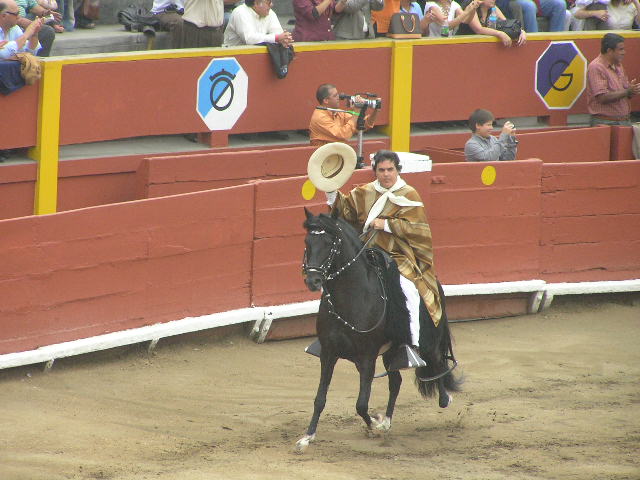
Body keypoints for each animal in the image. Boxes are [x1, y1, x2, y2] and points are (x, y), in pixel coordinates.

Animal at [298, 208, 462, 452]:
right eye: (307, 242)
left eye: (330, 243)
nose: (313, 280)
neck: (350, 297)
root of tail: (435, 284)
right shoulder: (328, 353)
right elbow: (320, 399)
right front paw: (308, 437)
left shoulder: (367, 356)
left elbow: (361, 404)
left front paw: (374, 425)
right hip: (392, 352)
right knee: (396, 382)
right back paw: (387, 421)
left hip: (427, 341)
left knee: (437, 362)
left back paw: (444, 399)